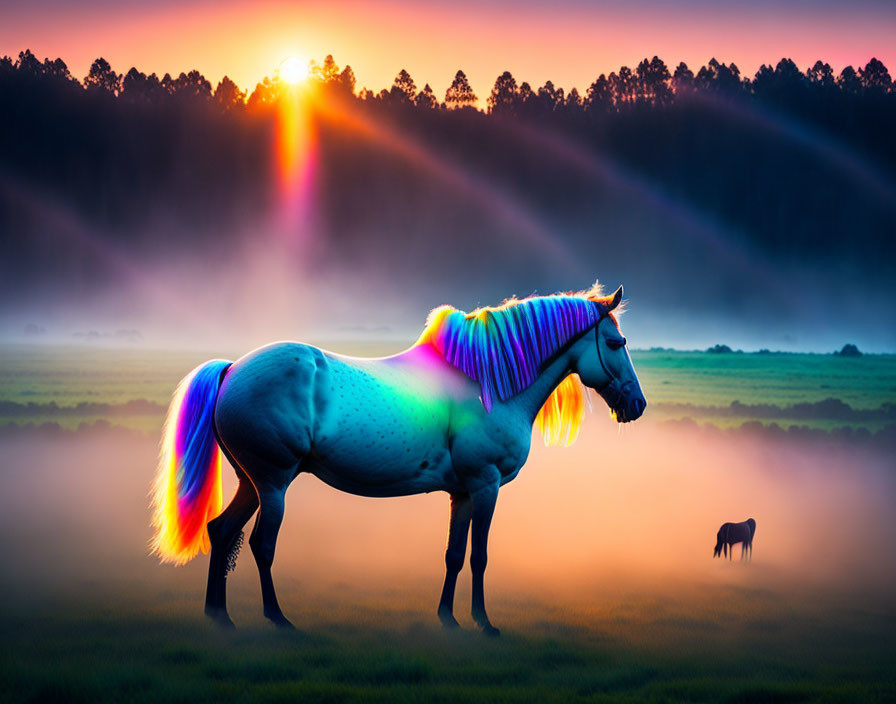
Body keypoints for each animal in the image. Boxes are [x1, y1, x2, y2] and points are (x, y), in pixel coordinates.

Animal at [152, 284, 644, 636]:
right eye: (615, 342)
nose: (636, 405)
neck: (487, 382)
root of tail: (232, 369)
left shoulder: (462, 492)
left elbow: (454, 554)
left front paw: (448, 619)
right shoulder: (485, 485)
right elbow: (480, 555)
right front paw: (484, 623)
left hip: (250, 483)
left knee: (222, 531)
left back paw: (220, 618)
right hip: (273, 482)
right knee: (260, 544)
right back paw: (279, 621)